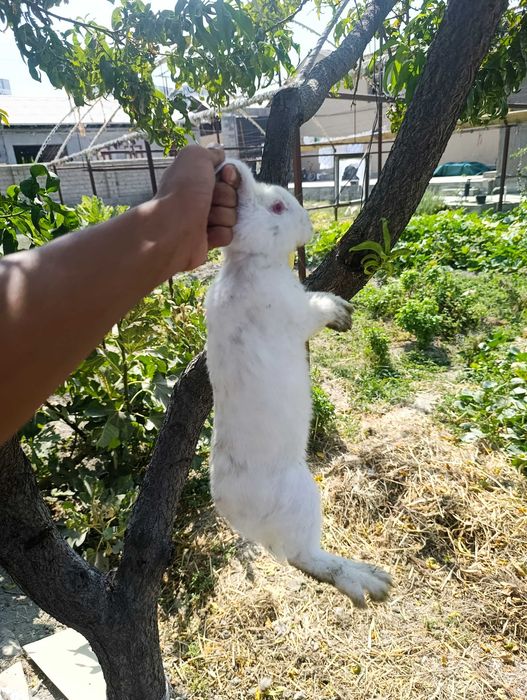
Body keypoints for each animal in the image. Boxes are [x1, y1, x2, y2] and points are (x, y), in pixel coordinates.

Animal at [204, 159, 392, 607]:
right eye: (277, 207)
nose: (307, 225)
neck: (249, 262)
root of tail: (232, 513)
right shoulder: (296, 314)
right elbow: (317, 308)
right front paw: (340, 313)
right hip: (302, 498)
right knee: (304, 557)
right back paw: (366, 580)